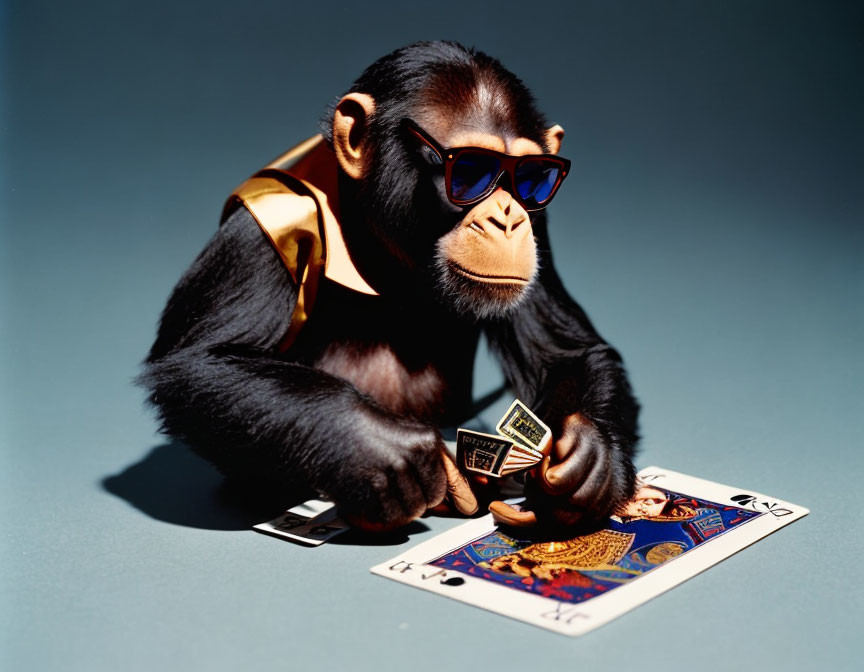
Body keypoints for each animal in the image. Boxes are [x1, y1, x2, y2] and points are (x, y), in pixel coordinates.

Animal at [140, 43, 640, 536]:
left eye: (535, 177)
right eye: (471, 171)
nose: (507, 216)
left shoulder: (539, 224)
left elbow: (563, 351)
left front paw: (589, 460)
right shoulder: (261, 229)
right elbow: (200, 363)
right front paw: (373, 445)